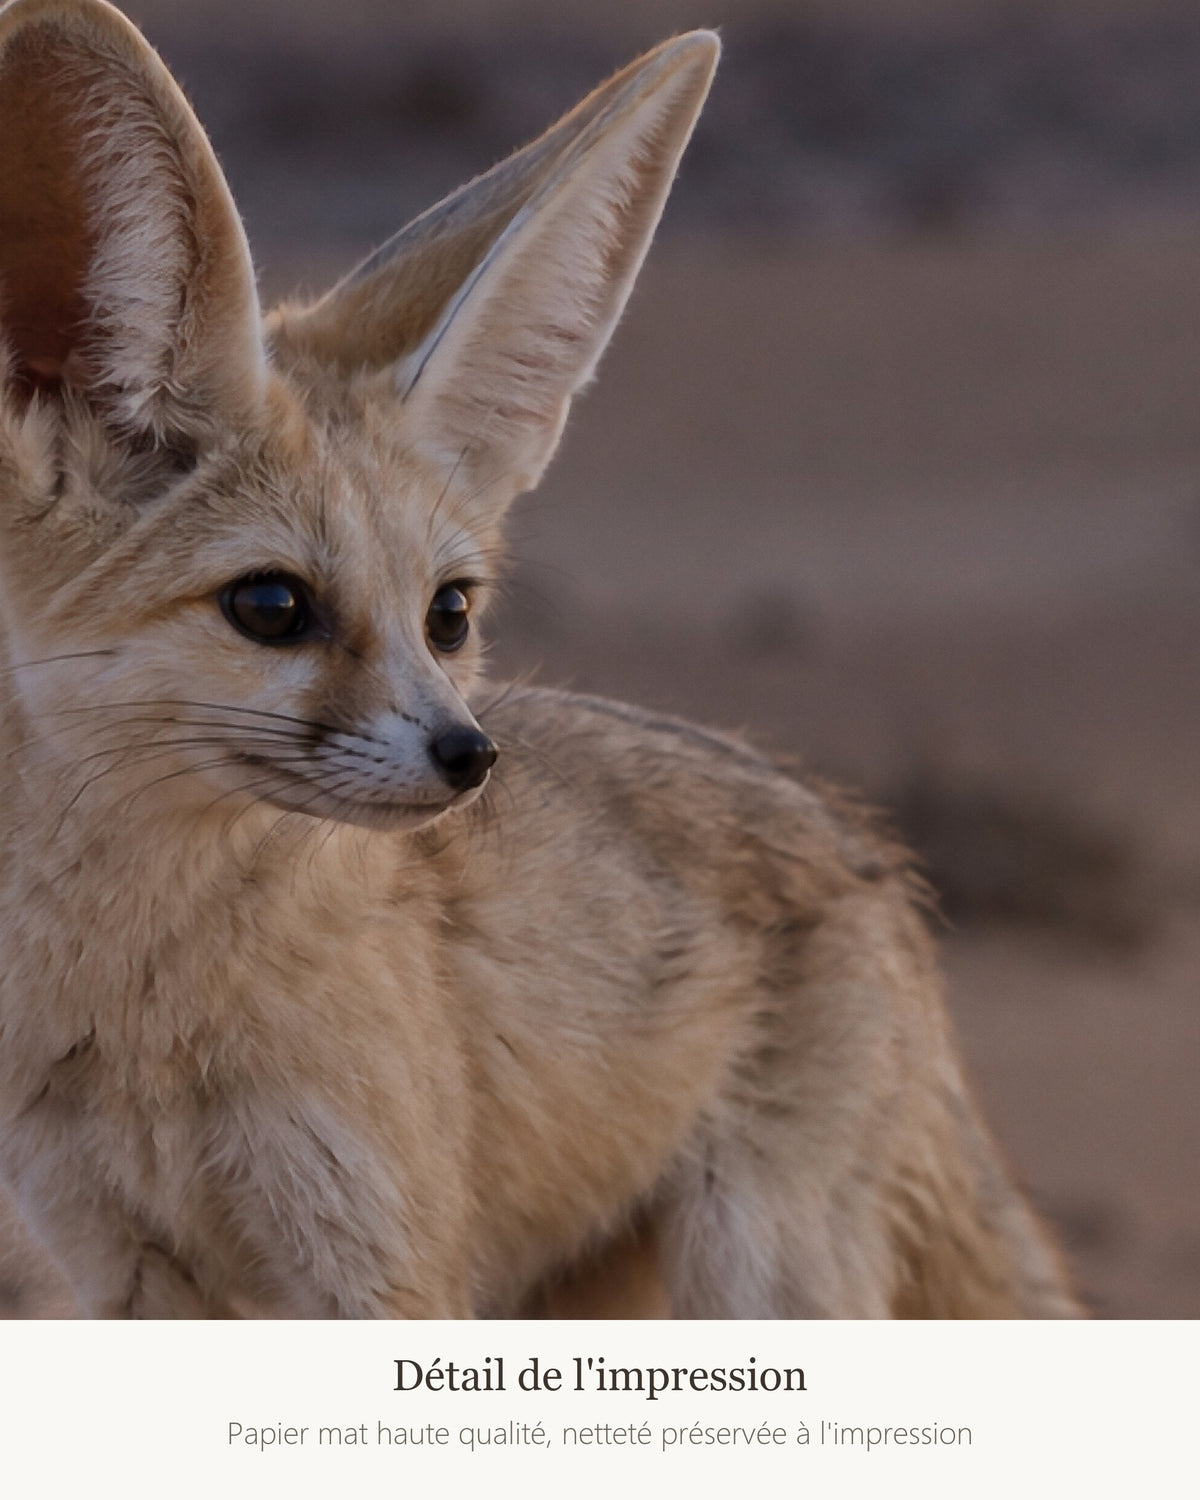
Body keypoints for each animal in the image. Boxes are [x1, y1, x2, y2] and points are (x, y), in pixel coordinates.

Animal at [0, 0, 1079, 1319]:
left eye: (449, 614)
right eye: (271, 606)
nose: (471, 757)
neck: (142, 1010)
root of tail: (867, 854)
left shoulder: (376, 1263)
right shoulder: (116, 1267)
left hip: (757, 1274)